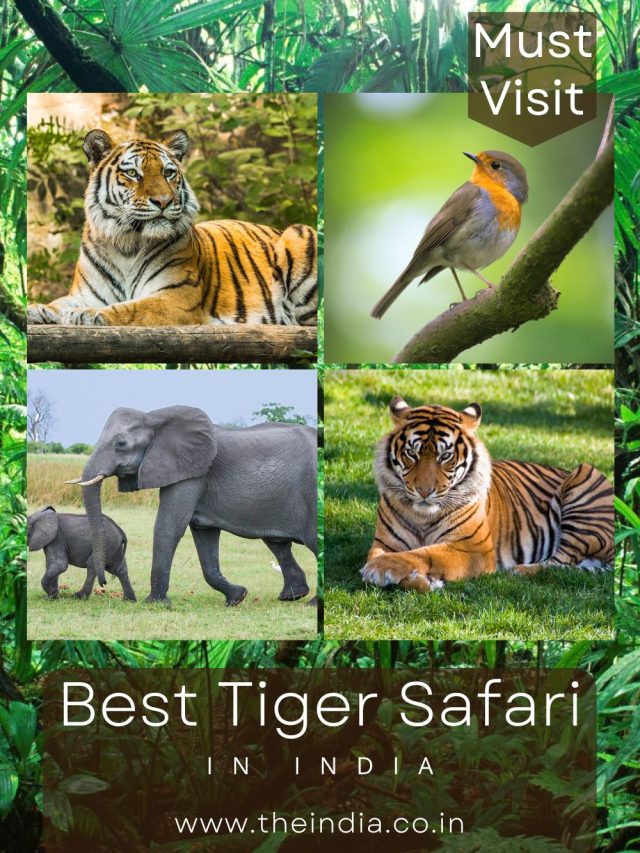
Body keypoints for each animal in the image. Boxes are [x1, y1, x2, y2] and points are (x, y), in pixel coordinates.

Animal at [26, 129, 317, 327]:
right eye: (132, 173)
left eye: (168, 172)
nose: (164, 201)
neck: (126, 242)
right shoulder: (85, 292)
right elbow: (60, 302)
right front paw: (38, 309)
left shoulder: (176, 297)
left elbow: (131, 308)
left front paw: (88, 315)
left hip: (299, 234)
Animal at [360, 396, 614, 592]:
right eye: (412, 454)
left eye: (445, 456)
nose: (424, 492)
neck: (423, 515)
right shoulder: (385, 541)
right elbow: (382, 555)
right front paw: (419, 580)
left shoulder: (473, 548)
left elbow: (425, 553)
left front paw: (380, 569)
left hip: (584, 478)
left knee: (561, 560)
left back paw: (519, 570)